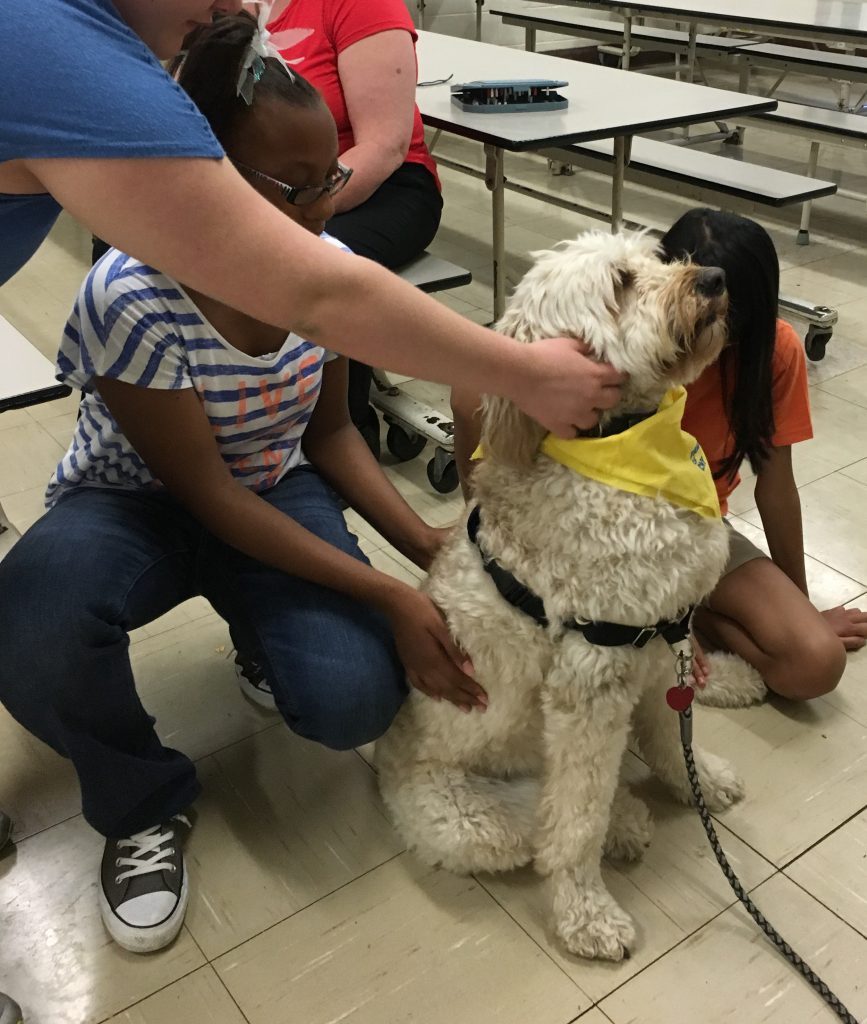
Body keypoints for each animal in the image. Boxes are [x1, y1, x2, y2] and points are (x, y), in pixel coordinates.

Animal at [378, 230, 753, 958]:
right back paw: (620, 823)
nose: (715, 278)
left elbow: (671, 732)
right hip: (472, 820)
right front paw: (587, 915)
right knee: (545, 824)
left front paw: (700, 776)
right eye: (619, 284)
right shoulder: (592, 680)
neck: (624, 453)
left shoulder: (661, 637)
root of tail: (383, 756)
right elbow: (574, 824)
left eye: (658, 258)